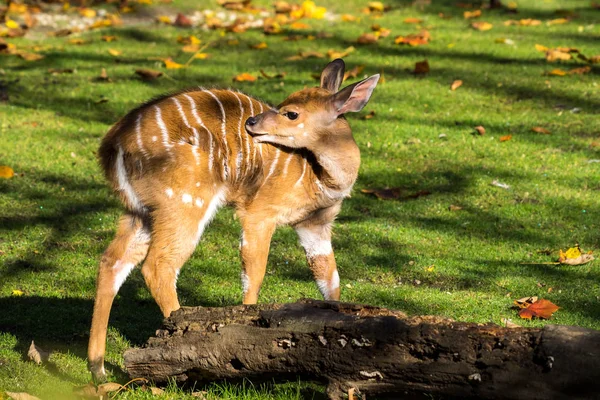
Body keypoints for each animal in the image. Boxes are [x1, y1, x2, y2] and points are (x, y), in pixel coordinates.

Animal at [86, 57, 378, 380]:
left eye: (291, 113)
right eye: (283, 105)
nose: (252, 122)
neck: (318, 176)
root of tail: (111, 147)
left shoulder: (315, 224)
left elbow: (329, 278)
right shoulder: (259, 213)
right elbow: (254, 273)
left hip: (141, 212)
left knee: (112, 260)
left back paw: (98, 369)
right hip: (185, 201)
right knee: (158, 266)